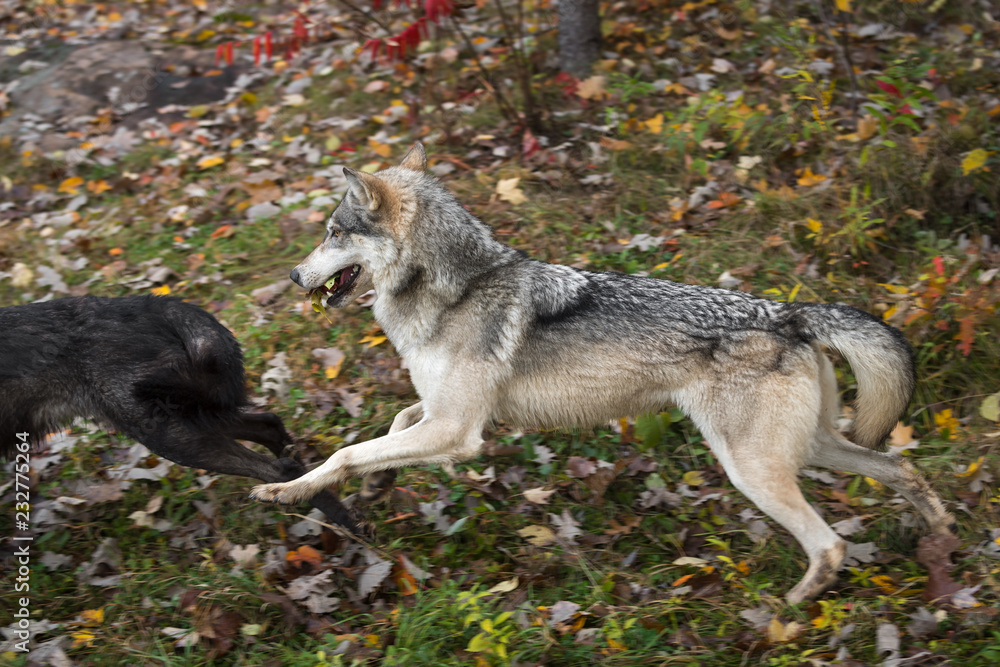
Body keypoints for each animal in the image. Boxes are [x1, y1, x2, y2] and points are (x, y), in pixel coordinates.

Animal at [0, 295, 357, 532]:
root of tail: (154, 304)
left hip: (166, 433)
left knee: (278, 468)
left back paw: (344, 522)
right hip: (191, 415)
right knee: (269, 426)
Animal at [251, 143, 955, 603]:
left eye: (332, 233)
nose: (291, 275)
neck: (456, 289)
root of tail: (791, 313)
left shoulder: (457, 428)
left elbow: (346, 451)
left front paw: (287, 490)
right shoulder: (448, 415)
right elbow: (390, 427)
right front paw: (378, 481)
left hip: (754, 470)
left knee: (830, 545)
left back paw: (787, 614)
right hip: (812, 449)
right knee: (902, 469)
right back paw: (943, 540)